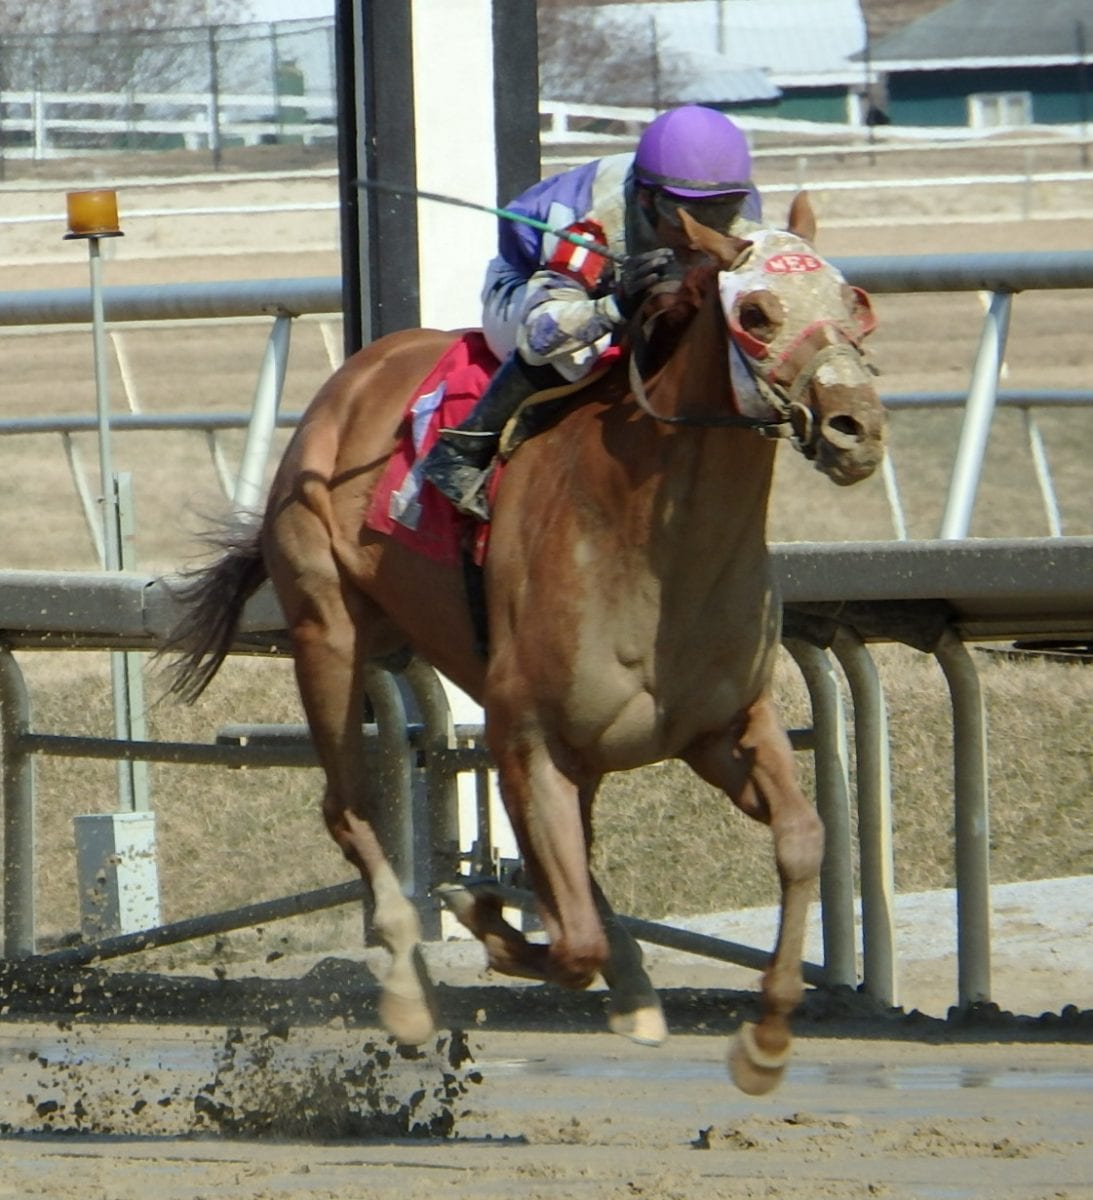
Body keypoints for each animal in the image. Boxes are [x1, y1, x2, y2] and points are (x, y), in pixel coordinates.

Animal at [170, 201, 887, 1094]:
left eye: (853, 301)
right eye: (755, 313)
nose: (856, 427)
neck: (656, 548)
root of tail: (356, 375)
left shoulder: (720, 728)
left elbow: (801, 838)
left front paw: (764, 1042)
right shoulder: (529, 736)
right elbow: (566, 936)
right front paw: (480, 912)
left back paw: (629, 981)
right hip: (327, 633)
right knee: (348, 808)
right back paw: (410, 989)